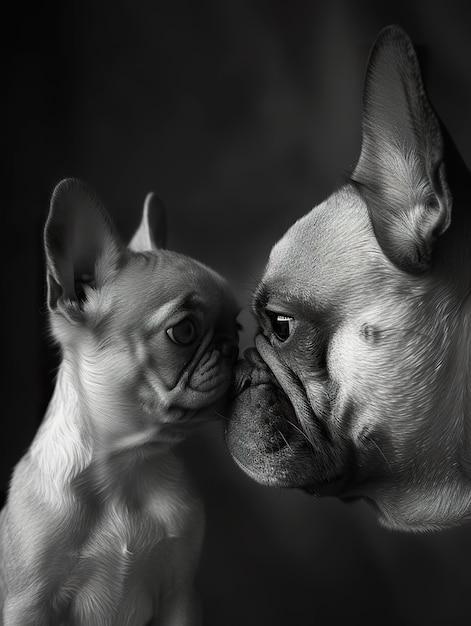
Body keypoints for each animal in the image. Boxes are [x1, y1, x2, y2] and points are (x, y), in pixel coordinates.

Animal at [0, 178, 240, 620]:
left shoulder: (180, 596)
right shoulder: (27, 604)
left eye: (239, 325)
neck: (127, 466)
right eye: (183, 331)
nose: (234, 348)